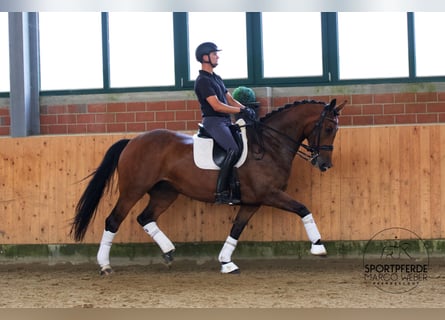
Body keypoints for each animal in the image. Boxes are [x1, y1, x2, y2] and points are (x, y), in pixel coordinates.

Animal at [70, 98, 346, 276]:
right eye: (329, 128)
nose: (324, 164)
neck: (269, 145)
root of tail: (132, 141)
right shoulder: (269, 194)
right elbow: (303, 208)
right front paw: (319, 247)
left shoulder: (253, 201)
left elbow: (236, 229)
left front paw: (226, 262)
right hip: (133, 190)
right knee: (113, 220)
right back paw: (105, 265)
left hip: (165, 192)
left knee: (145, 217)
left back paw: (168, 251)